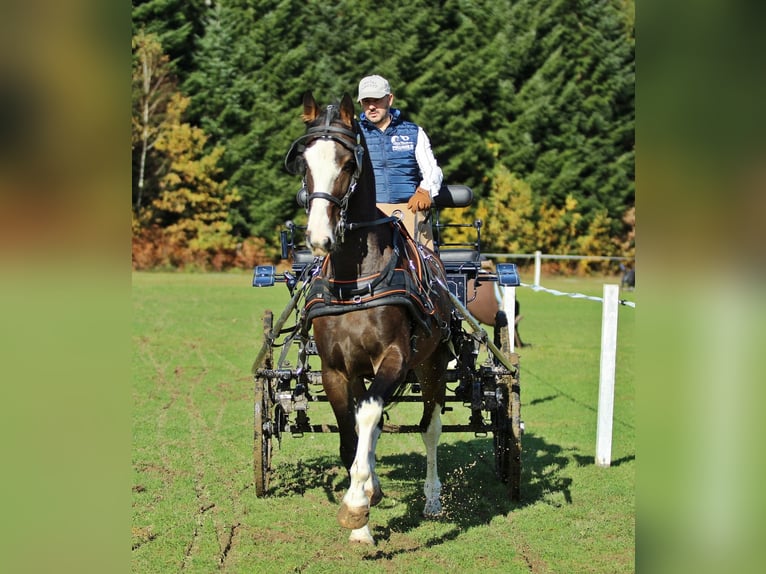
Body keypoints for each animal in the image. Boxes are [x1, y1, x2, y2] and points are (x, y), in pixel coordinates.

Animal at [288, 92, 453, 545]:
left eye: (348, 164)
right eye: (304, 162)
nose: (319, 237)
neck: (354, 281)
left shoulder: (394, 358)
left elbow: (367, 416)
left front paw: (357, 503)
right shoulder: (336, 368)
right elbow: (351, 431)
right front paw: (362, 517)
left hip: (432, 363)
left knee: (430, 427)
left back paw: (432, 499)